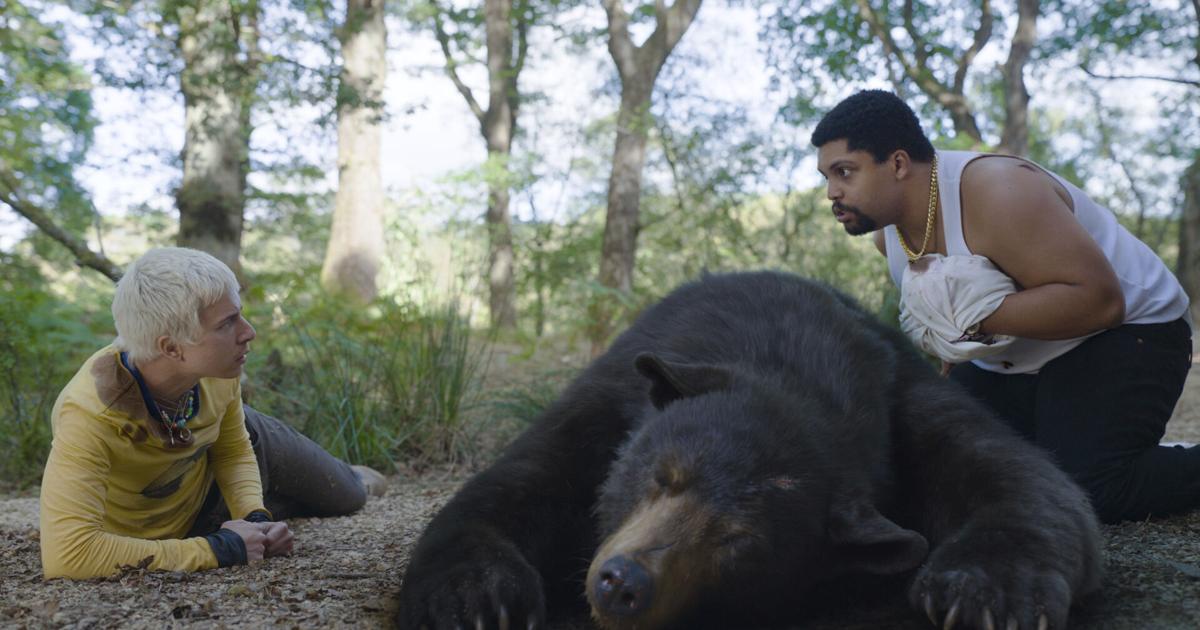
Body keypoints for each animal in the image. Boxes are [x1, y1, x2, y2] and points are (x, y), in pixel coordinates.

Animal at [397, 271, 1102, 630]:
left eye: (738, 540)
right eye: (662, 476)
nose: (623, 584)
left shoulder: (904, 392)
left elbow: (1024, 479)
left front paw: (987, 591)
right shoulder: (613, 392)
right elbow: (518, 481)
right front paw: (476, 597)